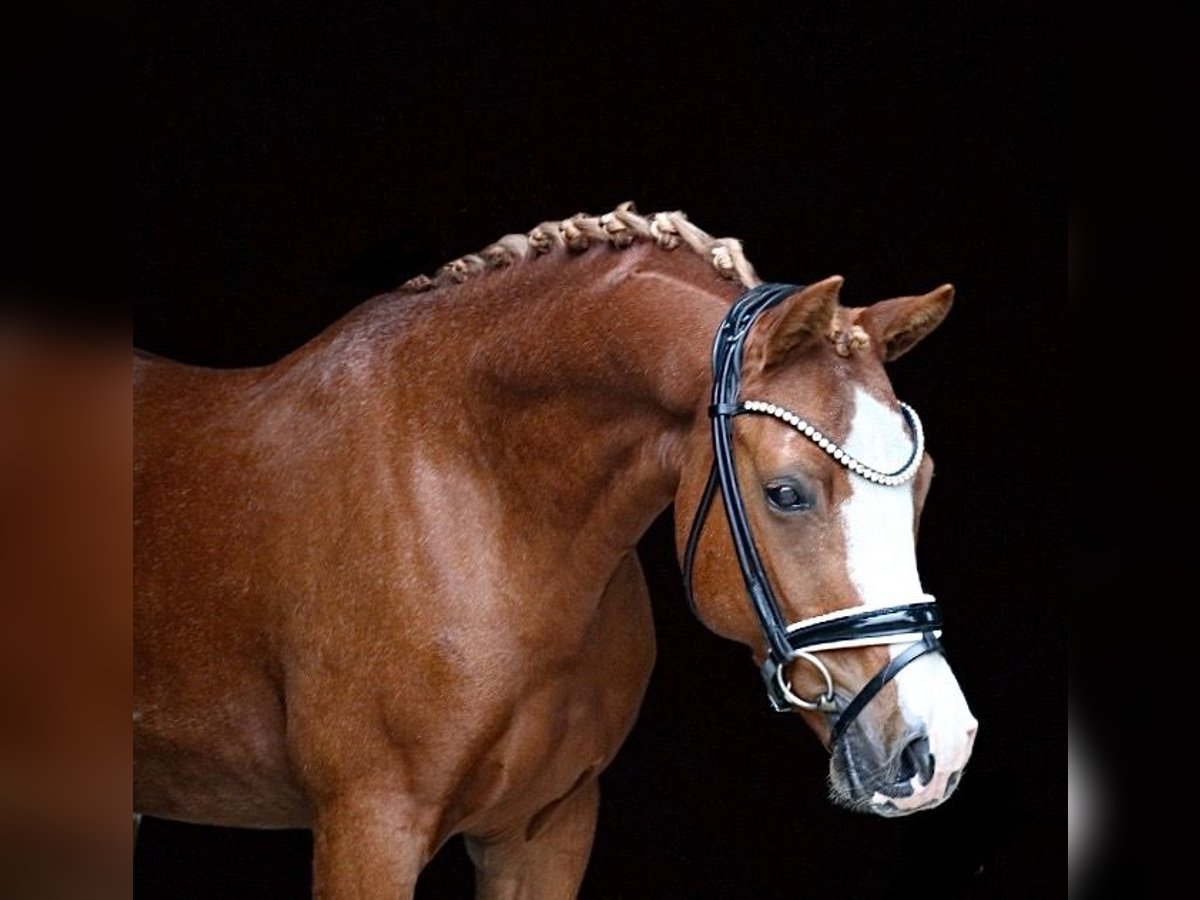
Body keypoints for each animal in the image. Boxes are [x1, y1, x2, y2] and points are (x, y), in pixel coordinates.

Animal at [133, 200, 974, 897]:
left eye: (925, 481)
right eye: (786, 492)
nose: (940, 747)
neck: (480, 496)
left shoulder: (546, 832)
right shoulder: (368, 830)